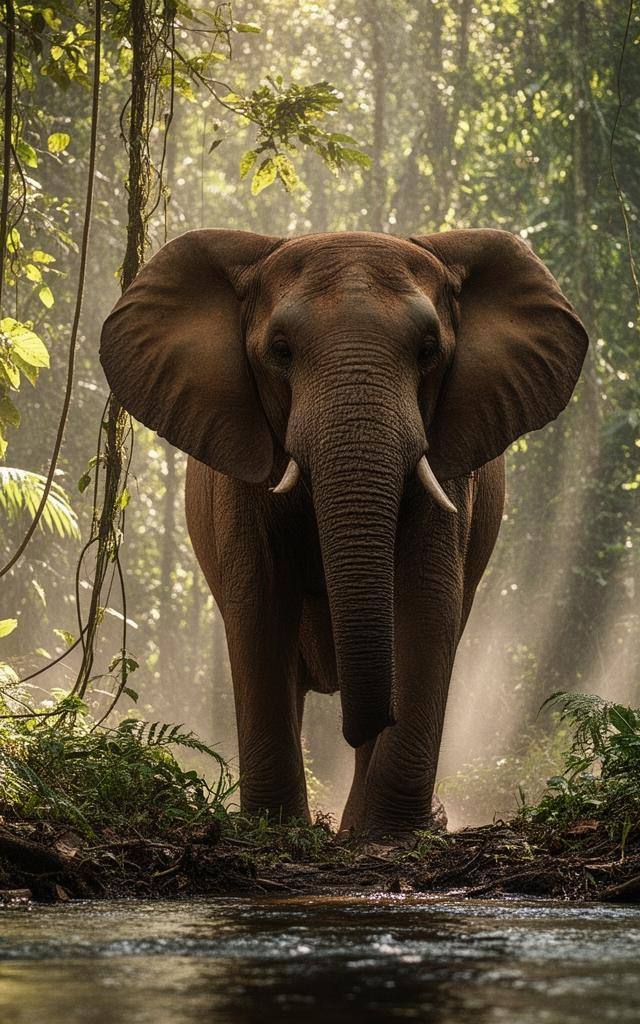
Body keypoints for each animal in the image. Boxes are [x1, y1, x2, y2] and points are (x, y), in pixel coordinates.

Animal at [100, 228, 588, 837]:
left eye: (429, 350)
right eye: (281, 350)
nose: (365, 724)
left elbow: (427, 602)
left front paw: (390, 834)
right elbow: (259, 602)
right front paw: (277, 829)